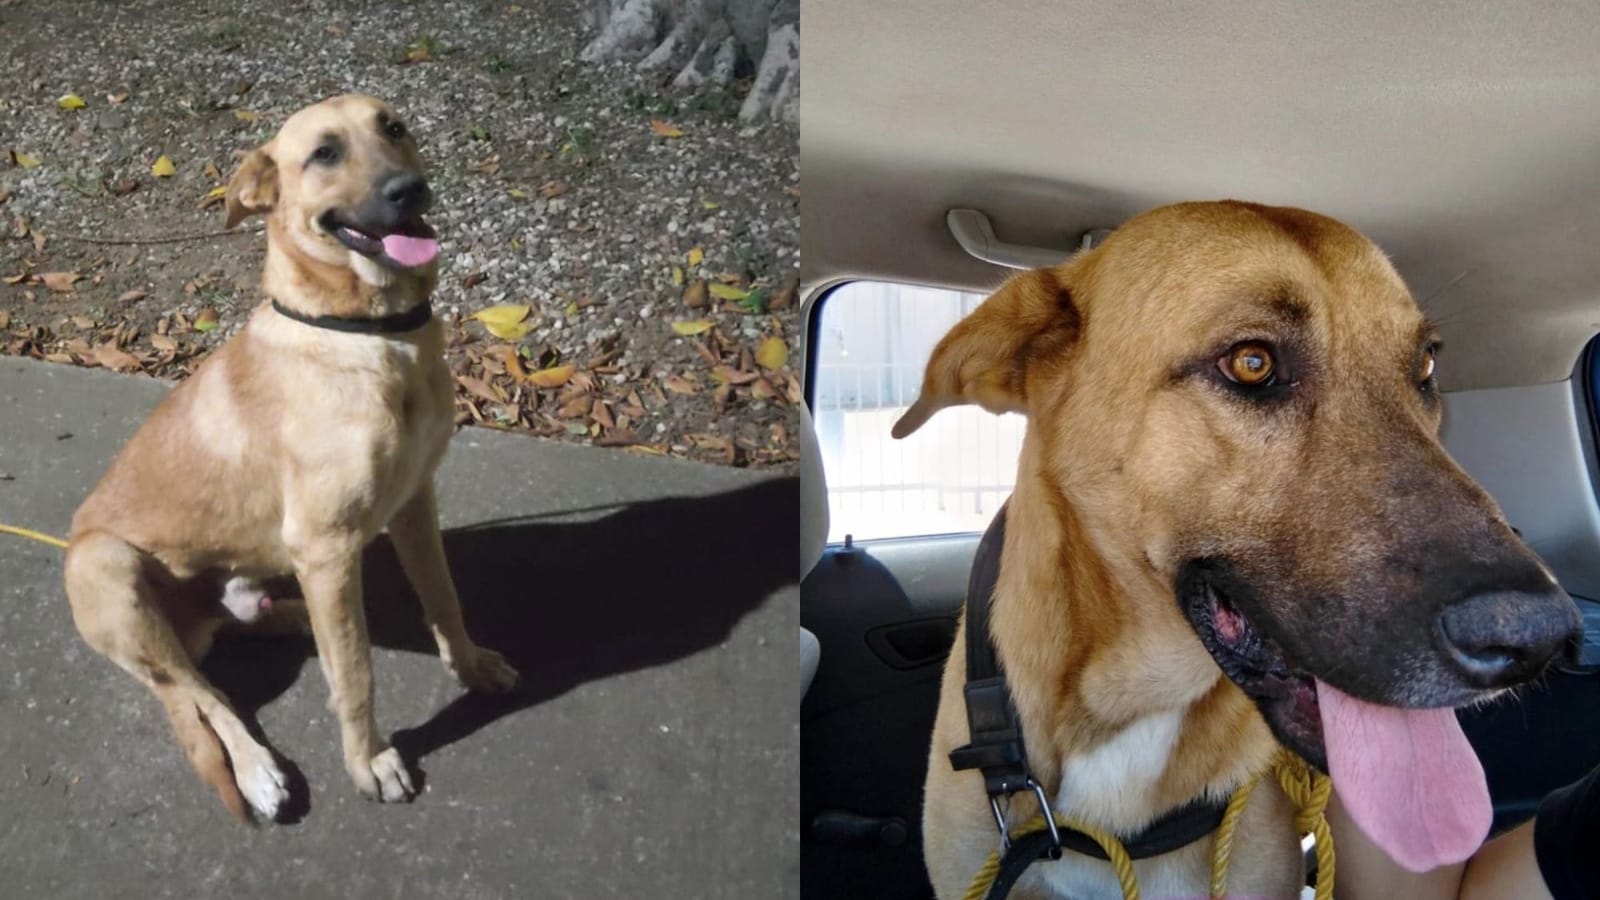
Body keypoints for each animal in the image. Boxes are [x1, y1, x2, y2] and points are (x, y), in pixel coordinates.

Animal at [65, 92, 515, 819]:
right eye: (324, 153)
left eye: (394, 128)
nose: (408, 189)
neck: (365, 334)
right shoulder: (325, 544)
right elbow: (356, 676)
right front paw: (370, 763)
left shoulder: (415, 502)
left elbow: (444, 600)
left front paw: (470, 667)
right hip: (106, 566)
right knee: (200, 692)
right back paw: (257, 769)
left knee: (239, 636)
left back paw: (295, 618)